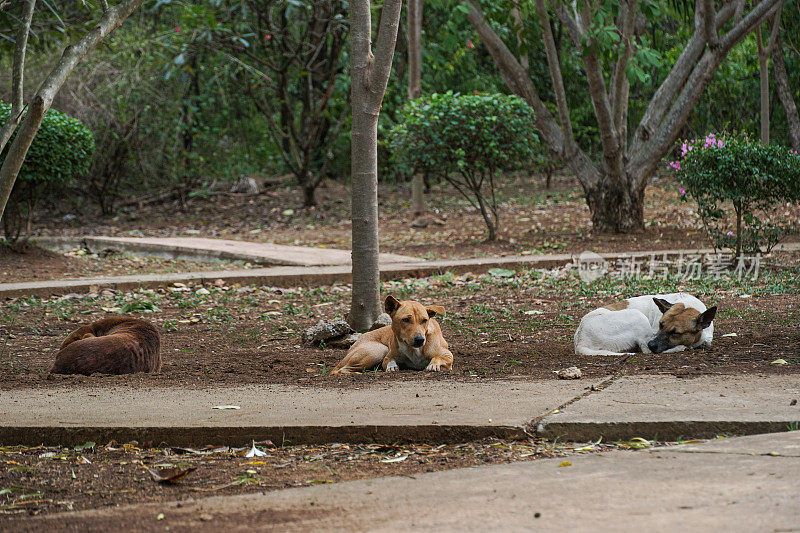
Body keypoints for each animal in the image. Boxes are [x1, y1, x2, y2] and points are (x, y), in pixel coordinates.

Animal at [576, 294, 720, 356]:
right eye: (660, 324)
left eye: (675, 333)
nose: (652, 344)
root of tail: (580, 341)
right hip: (638, 316)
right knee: (646, 350)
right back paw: (680, 348)